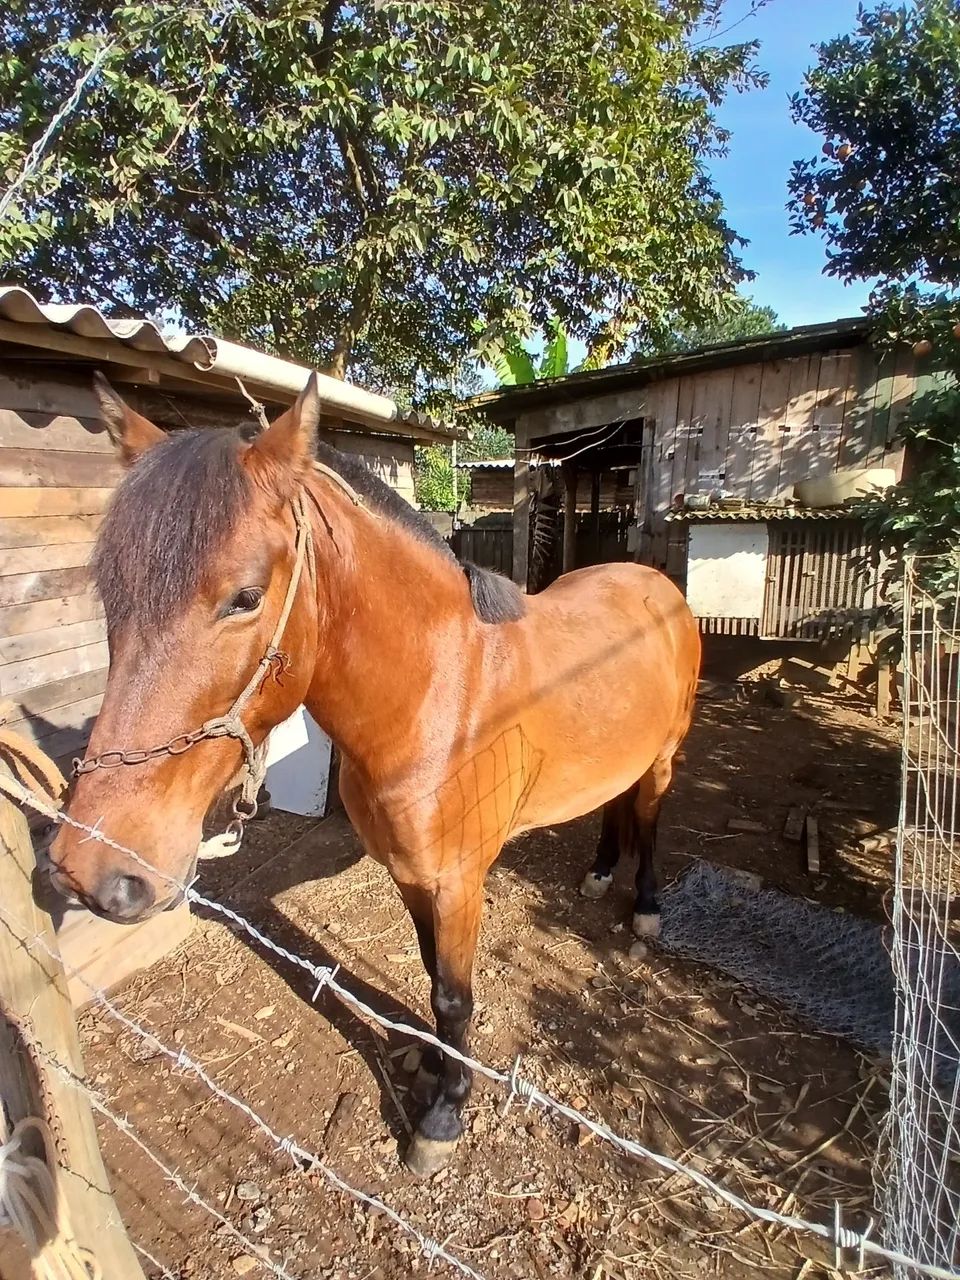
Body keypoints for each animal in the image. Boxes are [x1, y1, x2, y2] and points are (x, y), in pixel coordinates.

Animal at [50, 373, 701, 1177]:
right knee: (615, 806)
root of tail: (653, 582)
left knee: (650, 816)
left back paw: (644, 905)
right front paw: (426, 1066)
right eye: (110, 593)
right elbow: (427, 976)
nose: (91, 868)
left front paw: (445, 1113)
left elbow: (455, 997)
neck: (440, 698)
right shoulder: (411, 873)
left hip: (665, 756)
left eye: (245, 598)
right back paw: (601, 871)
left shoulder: (458, 882)